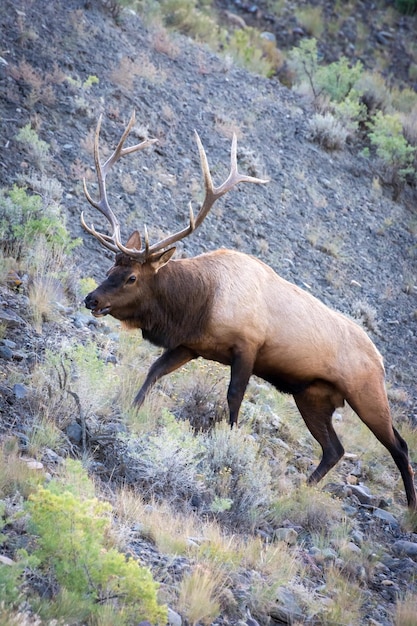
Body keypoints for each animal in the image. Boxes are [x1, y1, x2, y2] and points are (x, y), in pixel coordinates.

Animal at [82, 112, 416, 510]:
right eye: (109, 268)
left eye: (132, 277)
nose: (91, 299)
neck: (201, 301)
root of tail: (380, 361)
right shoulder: (190, 345)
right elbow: (154, 372)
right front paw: (132, 410)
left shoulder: (248, 347)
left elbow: (233, 397)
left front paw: (227, 447)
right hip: (313, 396)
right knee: (334, 449)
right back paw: (301, 489)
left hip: (367, 393)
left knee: (398, 445)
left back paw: (410, 507)